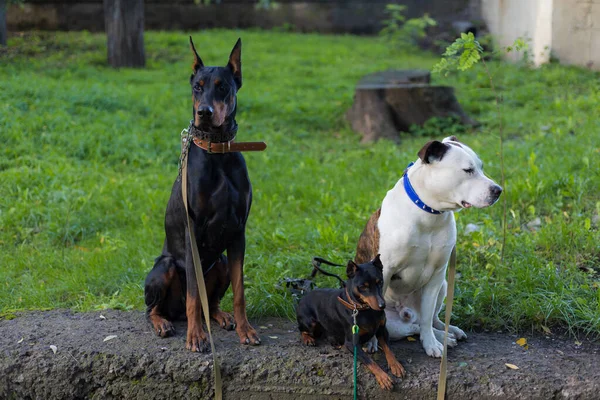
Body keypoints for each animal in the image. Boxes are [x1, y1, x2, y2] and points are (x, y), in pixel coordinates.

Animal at [145, 36, 260, 350]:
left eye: (222, 86)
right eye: (197, 86)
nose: (204, 113)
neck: (217, 151)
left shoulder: (238, 231)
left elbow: (239, 292)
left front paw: (246, 330)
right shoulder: (192, 232)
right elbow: (194, 297)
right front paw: (196, 336)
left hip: (220, 262)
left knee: (213, 301)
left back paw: (222, 317)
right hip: (165, 267)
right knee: (153, 308)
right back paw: (163, 323)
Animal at [296, 255, 406, 390]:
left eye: (380, 282)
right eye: (363, 286)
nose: (382, 306)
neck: (364, 309)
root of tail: (304, 295)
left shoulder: (382, 329)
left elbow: (389, 349)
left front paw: (396, 366)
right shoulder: (352, 343)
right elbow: (370, 361)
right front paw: (384, 378)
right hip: (310, 322)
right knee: (301, 329)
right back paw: (308, 339)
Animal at [356, 136, 502, 358]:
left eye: (481, 167)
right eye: (468, 170)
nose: (498, 190)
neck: (429, 213)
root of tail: (407, 313)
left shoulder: (437, 274)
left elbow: (426, 318)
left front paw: (432, 343)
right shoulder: (385, 270)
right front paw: (371, 341)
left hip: (443, 286)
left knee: (425, 321)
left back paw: (446, 333)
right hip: (394, 322)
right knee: (410, 327)